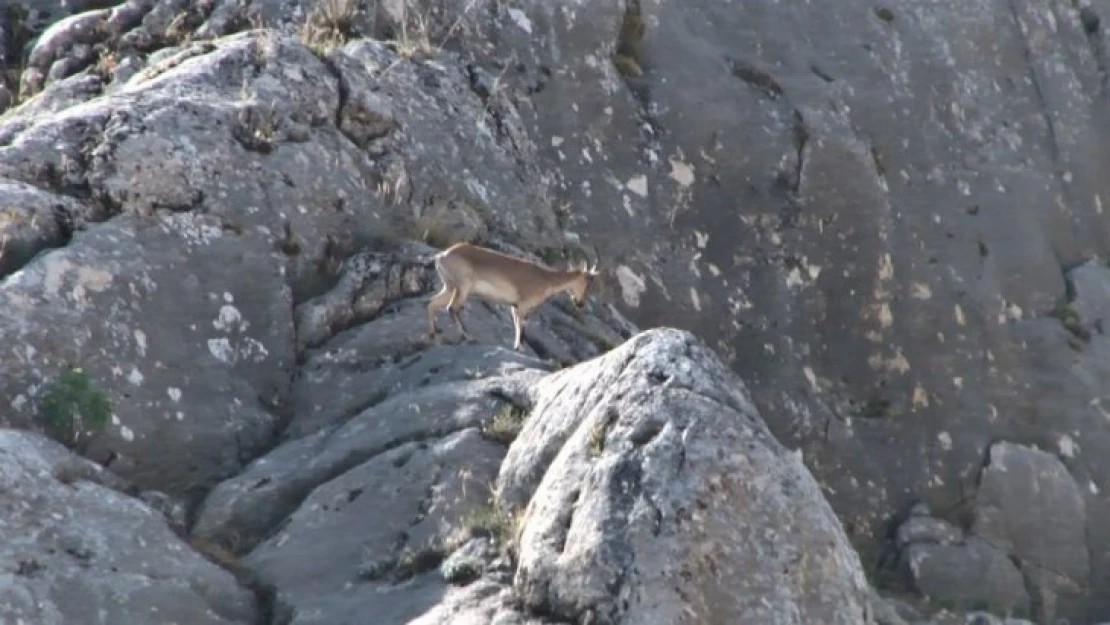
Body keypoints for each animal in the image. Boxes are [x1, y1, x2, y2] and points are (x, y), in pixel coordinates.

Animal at [426, 243, 599, 353]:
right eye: (589, 282)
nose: (580, 303)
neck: (545, 279)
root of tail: (442, 256)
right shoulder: (523, 305)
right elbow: (521, 325)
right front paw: (519, 347)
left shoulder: (514, 306)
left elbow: (518, 324)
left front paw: (517, 347)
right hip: (463, 287)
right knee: (451, 308)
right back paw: (468, 337)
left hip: (449, 287)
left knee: (432, 303)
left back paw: (434, 335)